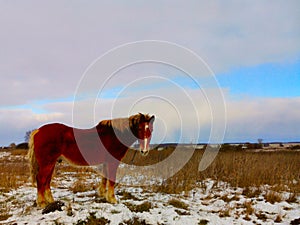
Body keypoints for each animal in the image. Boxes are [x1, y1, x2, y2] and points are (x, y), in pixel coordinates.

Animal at [27, 113, 155, 207]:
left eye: (151, 130)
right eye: (139, 128)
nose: (144, 151)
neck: (114, 135)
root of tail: (38, 131)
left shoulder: (106, 162)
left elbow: (105, 178)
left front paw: (103, 194)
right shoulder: (113, 162)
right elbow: (111, 180)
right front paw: (112, 199)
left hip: (51, 163)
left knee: (46, 181)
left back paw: (51, 201)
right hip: (47, 163)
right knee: (41, 179)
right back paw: (42, 203)